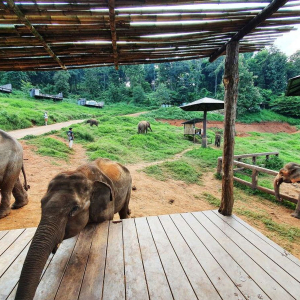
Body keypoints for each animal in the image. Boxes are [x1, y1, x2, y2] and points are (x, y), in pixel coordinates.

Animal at [15, 158, 131, 298]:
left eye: (74, 209)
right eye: (41, 203)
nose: (55, 248)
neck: (83, 174)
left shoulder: (107, 204)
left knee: (124, 211)